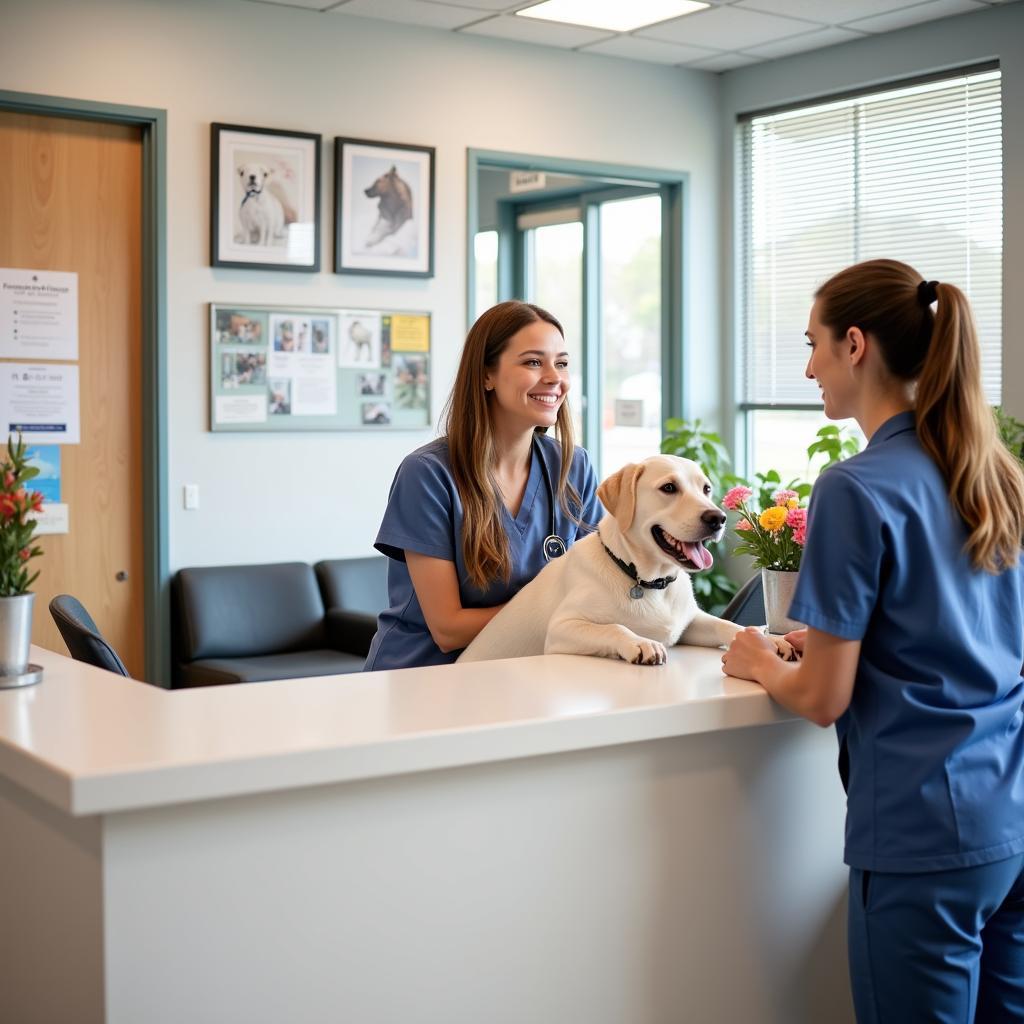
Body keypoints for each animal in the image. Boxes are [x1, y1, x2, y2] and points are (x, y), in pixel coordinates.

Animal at [460, 454, 749, 663]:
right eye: (669, 487)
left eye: (706, 489)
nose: (717, 518)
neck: (646, 580)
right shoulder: (562, 628)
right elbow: (614, 627)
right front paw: (641, 643)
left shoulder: (689, 622)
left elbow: (725, 624)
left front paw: (754, 635)